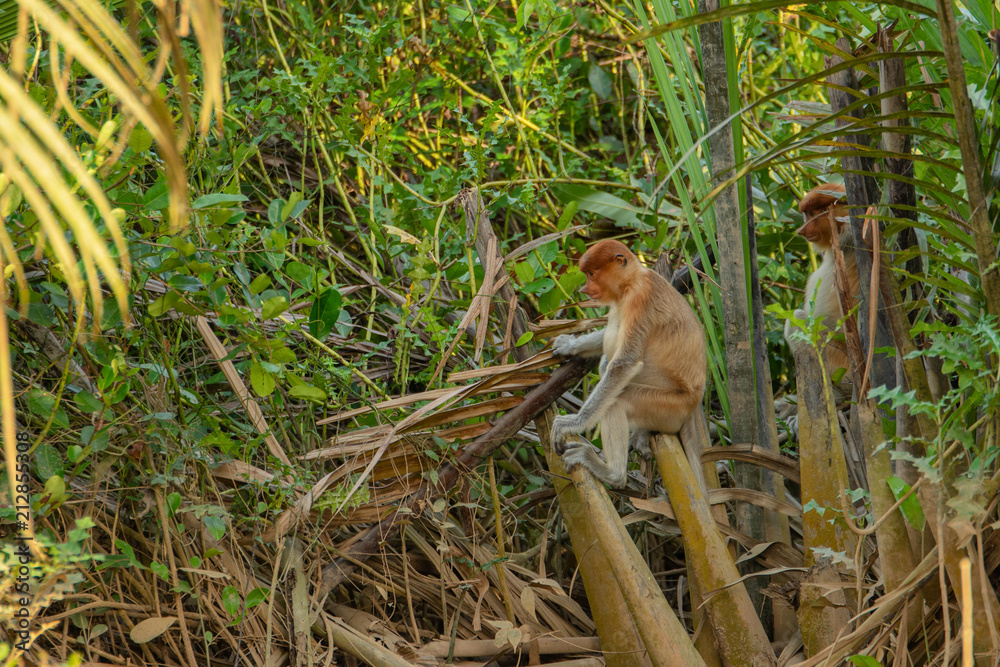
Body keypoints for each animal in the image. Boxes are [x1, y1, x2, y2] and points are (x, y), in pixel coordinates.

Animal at [552, 239, 708, 486]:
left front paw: (572, 422)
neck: (632, 281)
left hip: (670, 407)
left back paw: (612, 473)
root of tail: (695, 402)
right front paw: (569, 344)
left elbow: (623, 365)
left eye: (591, 274)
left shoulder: (640, 299)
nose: (585, 290)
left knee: (618, 399)